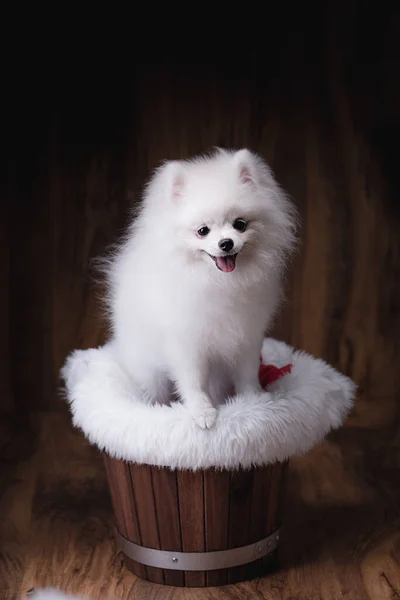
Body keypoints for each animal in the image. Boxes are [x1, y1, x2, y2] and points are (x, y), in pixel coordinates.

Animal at [103, 150, 296, 432]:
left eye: (240, 224)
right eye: (203, 231)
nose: (226, 243)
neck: (218, 281)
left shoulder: (247, 335)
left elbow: (247, 372)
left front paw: (254, 402)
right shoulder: (186, 343)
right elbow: (193, 382)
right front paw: (202, 413)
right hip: (148, 367)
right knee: (154, 388)